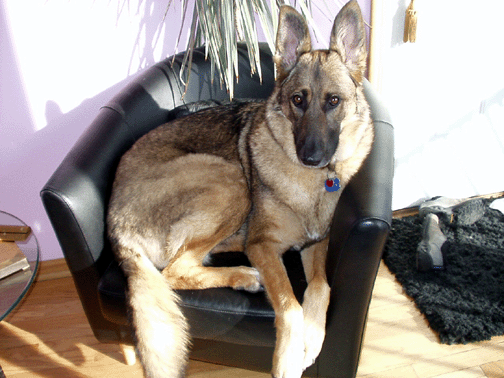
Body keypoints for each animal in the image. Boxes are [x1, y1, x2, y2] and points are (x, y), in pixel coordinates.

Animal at [107, 1, 374, 376]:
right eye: (297, 100)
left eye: (333, 101)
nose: (310, 156)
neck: (311, 183)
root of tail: (114, 224)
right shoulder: (262, 246)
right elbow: (290, 305)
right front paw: (289, 358)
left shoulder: (317, 243)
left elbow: (322, 286)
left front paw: (312, 339)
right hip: (230, 180)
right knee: (174, 271)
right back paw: (243, 275)